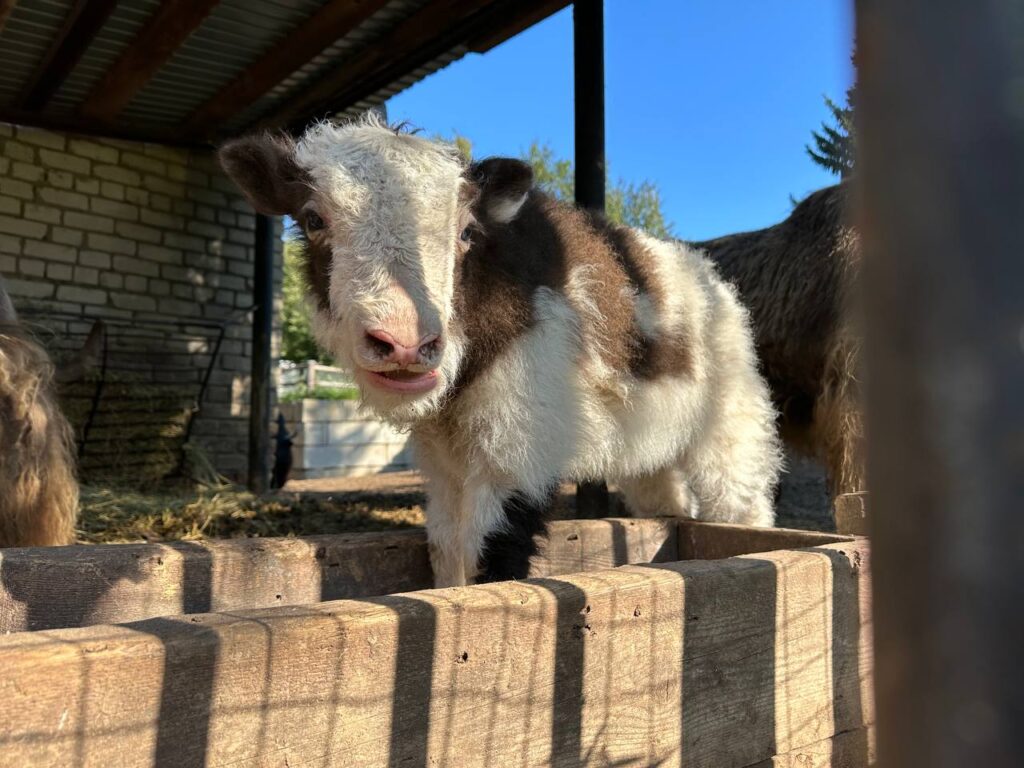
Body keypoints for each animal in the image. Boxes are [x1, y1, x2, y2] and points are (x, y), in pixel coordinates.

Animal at [220, 118, 778, 589]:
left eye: (467, 232)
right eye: (313, 220)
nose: (405, 343)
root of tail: (710, 277)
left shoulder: (520, 440)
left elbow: (491, 553)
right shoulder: (443, 459)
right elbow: (448, 550)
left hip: (732, 418)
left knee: (741, 504)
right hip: (650, 441)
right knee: (665, 499)